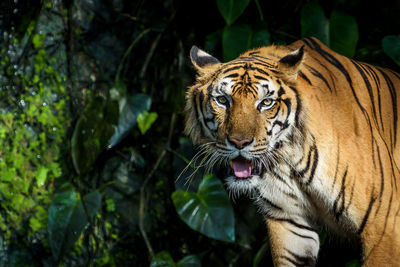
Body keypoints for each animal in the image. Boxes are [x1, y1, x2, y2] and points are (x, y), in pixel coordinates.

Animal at [186, 36, 400, 266]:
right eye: (223, 100)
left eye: (266, 102)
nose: (239, 142)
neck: (288, 159)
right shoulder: (289, 223)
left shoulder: (383, 227)